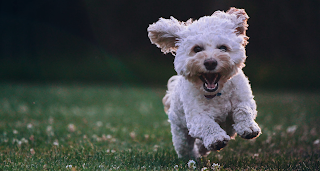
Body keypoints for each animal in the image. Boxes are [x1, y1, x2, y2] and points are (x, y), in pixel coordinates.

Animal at [149, 7, 262, 158]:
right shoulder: (196, 116)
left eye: (223, 48)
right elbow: (206, 124)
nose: (210, 62)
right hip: (180, 132)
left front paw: (248, 128)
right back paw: (193, 156)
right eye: (197, 49)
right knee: (185, 147)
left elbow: (243, 109)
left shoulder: (244, 99)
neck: (217, 93)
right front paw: (216, 138)